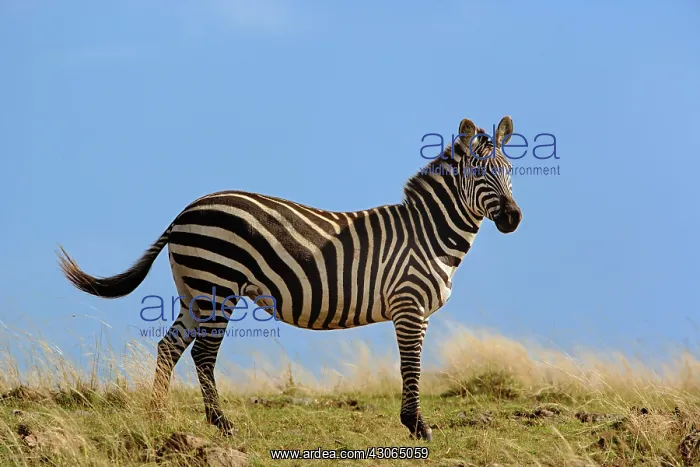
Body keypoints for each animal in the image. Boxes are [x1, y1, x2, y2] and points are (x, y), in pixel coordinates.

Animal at [57, 116, 522, 442]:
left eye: (510, 171)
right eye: (480, 174)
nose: (514, 219)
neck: (428, 235)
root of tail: (184, 212)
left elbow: (412, 366)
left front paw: (415, 423)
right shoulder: (409, 305)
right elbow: (413, 365)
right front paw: (416, 426)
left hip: (194, 292)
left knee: (169, 346)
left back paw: (157, 415)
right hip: (217, 287)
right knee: (203, 356)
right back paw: (222, 424)